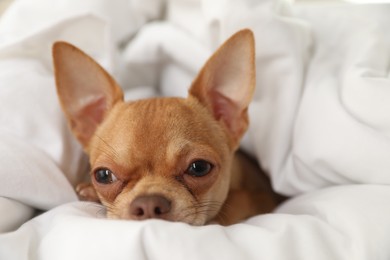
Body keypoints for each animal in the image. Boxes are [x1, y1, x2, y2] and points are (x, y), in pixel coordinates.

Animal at [51, 29, 278, 225]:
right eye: (103, 175)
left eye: (199, 167)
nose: (149, 203)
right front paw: (89, 192)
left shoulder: (262, 198)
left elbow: (238, 201)